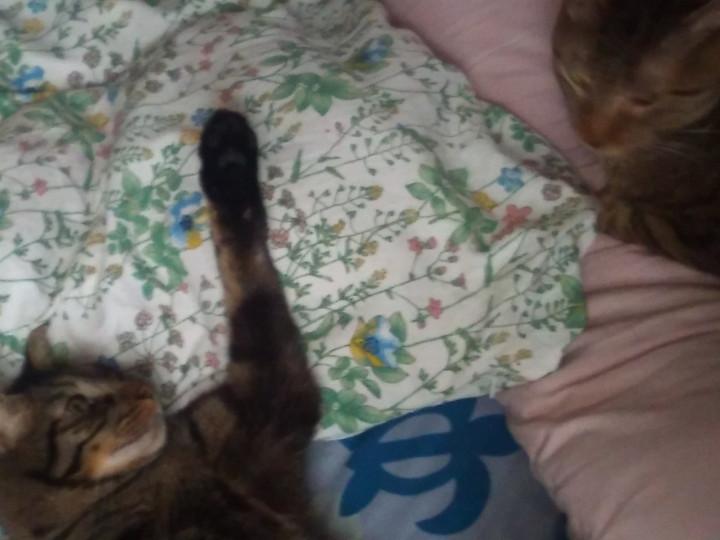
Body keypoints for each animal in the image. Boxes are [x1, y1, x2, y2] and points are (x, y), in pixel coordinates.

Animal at [0, 110, 332, 540]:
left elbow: (246, 268)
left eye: (111, 370)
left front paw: (228, 159)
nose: (145, 391)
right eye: (80, 406)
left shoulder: (267, 396)